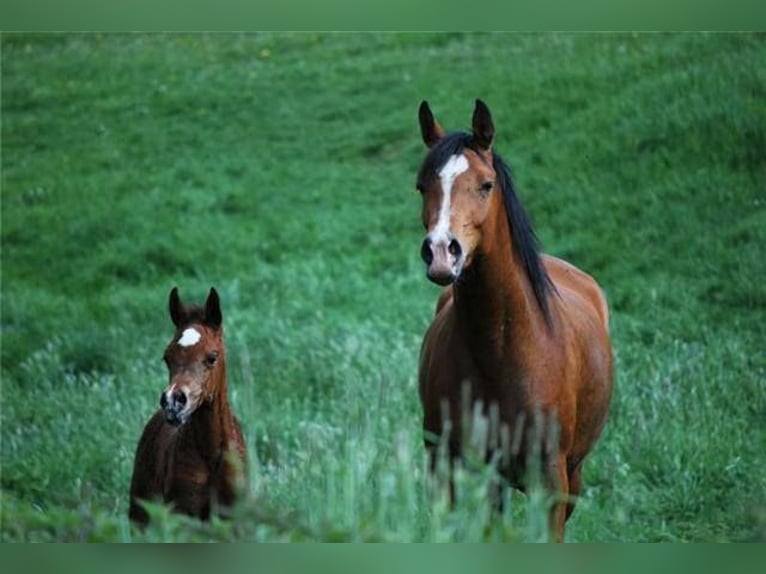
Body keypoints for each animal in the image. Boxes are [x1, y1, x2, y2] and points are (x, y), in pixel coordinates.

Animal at [129, 288, 248, 528]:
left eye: (212, 357)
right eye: (167, 357)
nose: (172, 402)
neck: (211, 456)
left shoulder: (235, 518)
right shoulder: (183, 515)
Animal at [416, 100, 616, 544]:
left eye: (486, 184)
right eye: (422, 185)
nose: (441, 252)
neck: (499, 350)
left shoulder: (551, 480)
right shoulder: (445, 465)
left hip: (572, 474)